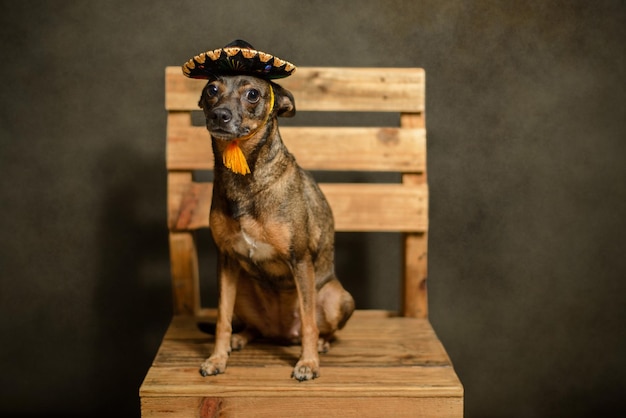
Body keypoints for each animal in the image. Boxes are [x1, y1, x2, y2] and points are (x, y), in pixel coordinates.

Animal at [197, 73, 354, 380]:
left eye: (253, 95)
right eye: (211, 90)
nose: (219, 115)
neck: (245, 178)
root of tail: (281, 334)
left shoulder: (300, 259)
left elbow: (308, 320)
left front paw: (308, 363)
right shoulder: (226, 259)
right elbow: (222, 317)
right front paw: (217, 359)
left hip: (337, 297)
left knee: (320, 328)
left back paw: (321, 344)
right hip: (243, 288)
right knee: (254, 328)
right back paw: (240, 339)